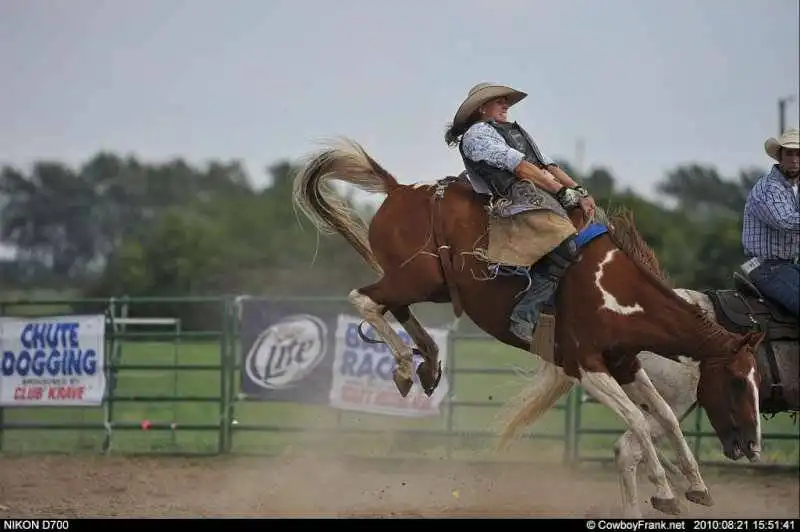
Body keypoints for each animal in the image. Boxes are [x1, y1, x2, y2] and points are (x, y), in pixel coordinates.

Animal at [292, 137, 764, 516]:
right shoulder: (586, 366)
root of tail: (398, 190)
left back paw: (427, 360)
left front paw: (697, 486)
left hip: (429, 285)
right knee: (364, 298)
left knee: (394, 306)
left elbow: (663, 414)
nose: (753, 446)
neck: (612, 289)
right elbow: (636, 417)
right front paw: (666, 493)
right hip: (416, 277)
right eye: (738, 381)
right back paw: (409, 367)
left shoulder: (626, 363)